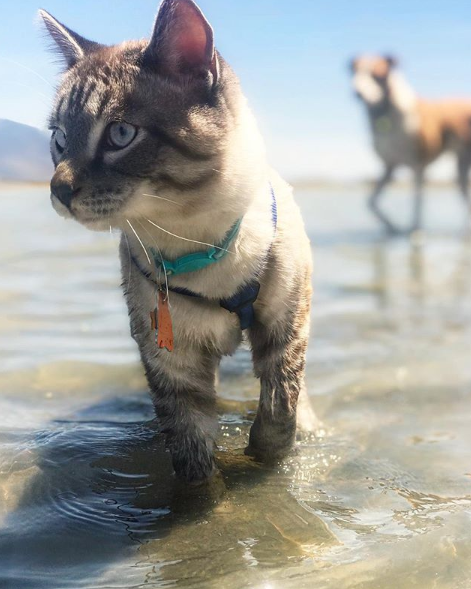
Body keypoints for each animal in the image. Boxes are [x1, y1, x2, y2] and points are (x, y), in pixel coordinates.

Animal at [40, 0, 314, 480]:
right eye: (59, 139)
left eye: (120, 134)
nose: (58, 190)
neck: (193, 240)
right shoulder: (173, 362)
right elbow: (193, 458)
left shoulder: (285, 328)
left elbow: (280, 410)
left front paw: (264, 464)